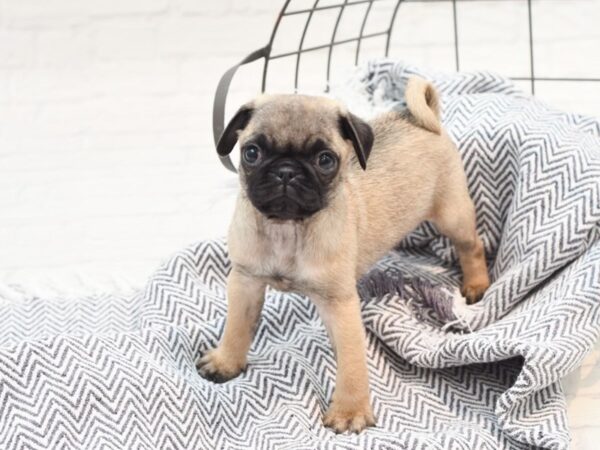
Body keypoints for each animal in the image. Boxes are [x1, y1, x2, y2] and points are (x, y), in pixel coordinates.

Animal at [199, 76, 490, 432]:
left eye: (325, 160)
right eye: (251, 153)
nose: (286, 171)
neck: (288, 229)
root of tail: (425, 119)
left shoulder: (340, 305)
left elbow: (352, 363)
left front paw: (350, 412)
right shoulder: (245, 281)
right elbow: (236, 327)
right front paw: (226, 362)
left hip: (452, 214)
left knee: (471, 245)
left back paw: (476, 284)